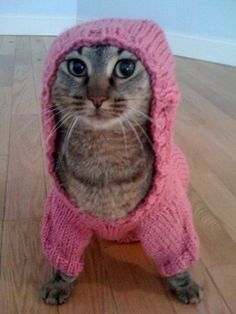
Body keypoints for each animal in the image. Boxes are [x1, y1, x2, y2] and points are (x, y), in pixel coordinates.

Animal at [41, 45, 202, 306]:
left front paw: (185, 284)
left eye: (125, 68)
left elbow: (176, 254)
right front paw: (59, 283)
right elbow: (64, 254)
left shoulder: (169, 217)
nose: (97, 98)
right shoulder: (64, 216)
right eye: (77, 67)